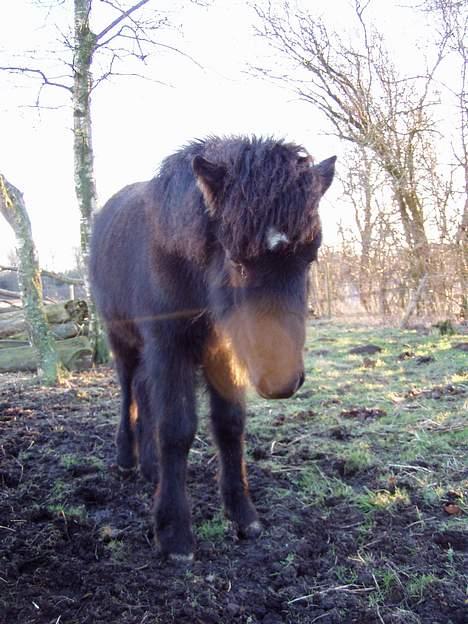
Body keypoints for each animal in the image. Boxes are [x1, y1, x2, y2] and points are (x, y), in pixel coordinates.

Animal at [88, 135, 336, 560]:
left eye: (310, 258)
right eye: (237, 261)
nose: (281, 381)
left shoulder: (224, 350)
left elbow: (229, 425)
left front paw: (242, 514)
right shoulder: (169, 346)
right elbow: (176, 428)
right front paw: (174, 534)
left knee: (144, 392)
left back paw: (150, 467)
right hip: (123, 340)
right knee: (128, 392)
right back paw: (126, 459)